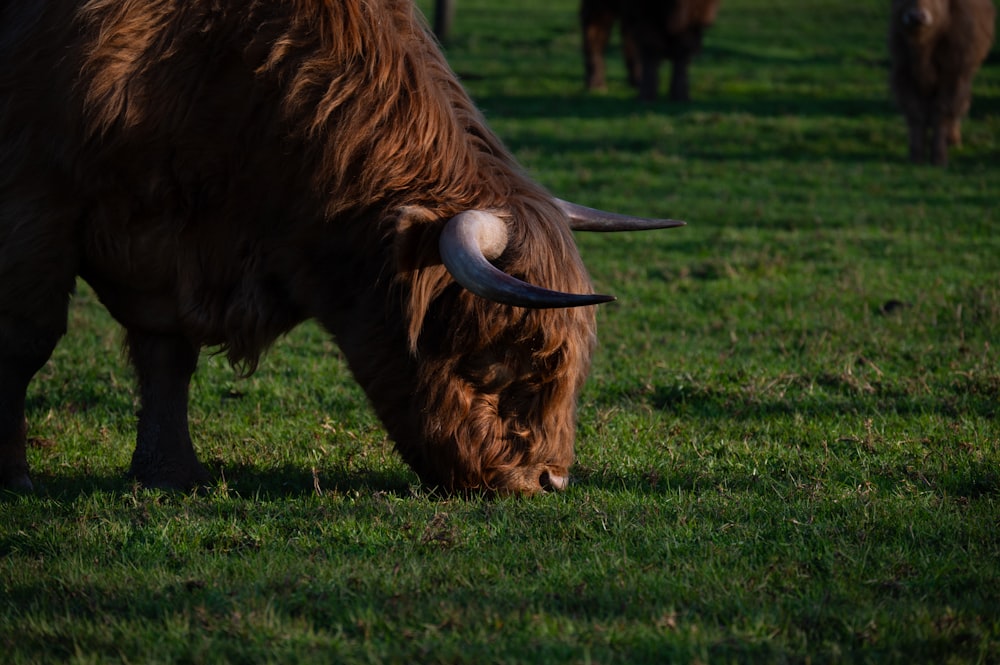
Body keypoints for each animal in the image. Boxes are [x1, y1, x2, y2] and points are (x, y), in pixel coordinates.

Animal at [0, 0, 680, 496]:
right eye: (501, 358)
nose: (550, 479)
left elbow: (167, 355)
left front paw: (172, 474)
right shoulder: (34, 193)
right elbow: (27, 340)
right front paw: (15, 476)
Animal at [584, 0, 724, 100]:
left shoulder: (696, 14)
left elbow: (683, 51)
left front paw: (681, 94)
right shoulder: (643, 12)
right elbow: (651, 50)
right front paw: (647, 95)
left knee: (627, 37)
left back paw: (636, 79)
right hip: (599, 6)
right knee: (595, 33)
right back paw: (597, 84)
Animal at [892, 0, 992, 165]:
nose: (916, 16)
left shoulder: (953, 77)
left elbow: (942, 113)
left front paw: (939, 158)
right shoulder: (904, 76)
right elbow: (915, 115)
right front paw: (915, 156)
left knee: (960, 107)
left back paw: (953, 140)